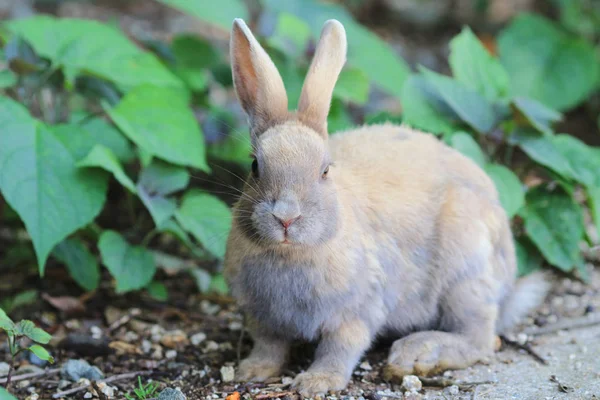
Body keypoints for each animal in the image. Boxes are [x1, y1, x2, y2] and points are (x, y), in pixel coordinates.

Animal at [223, 17, 552, 396]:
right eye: (255, 167)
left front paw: (317, 383)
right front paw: (251, 370)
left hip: (465, 272)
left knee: (480, 338)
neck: (290, 254)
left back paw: (417, 354)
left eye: (325, 170)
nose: (286, 218)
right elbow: (270, 346)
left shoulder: (356, 312)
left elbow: (339, 349)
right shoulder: (261, 318)